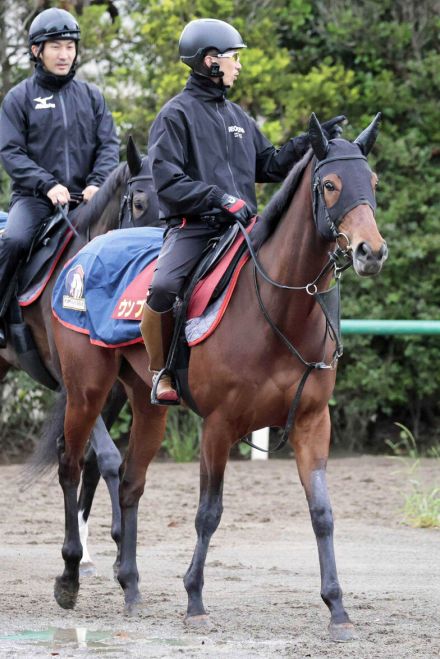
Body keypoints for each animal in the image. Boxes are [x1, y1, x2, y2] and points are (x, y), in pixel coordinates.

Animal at [1, 138, 160, 572]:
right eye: (140, 202)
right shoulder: (74, 381)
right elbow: (104, 455)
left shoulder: (119, 388)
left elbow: (92, 459)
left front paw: (97, 548)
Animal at [46, 116, 386, 640]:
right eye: (330, 185)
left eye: (372, 182)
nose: (373, 251)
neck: (277, 308)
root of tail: (82, 257)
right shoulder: (218, 426)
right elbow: (209, 513)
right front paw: (194, 599)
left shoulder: (313, 422)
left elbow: (322, 514)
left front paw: (338, 608)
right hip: (87, 390)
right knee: (70, 465)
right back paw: (68, 577)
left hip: (144, 404)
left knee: (129, 482)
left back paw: (130, 586)